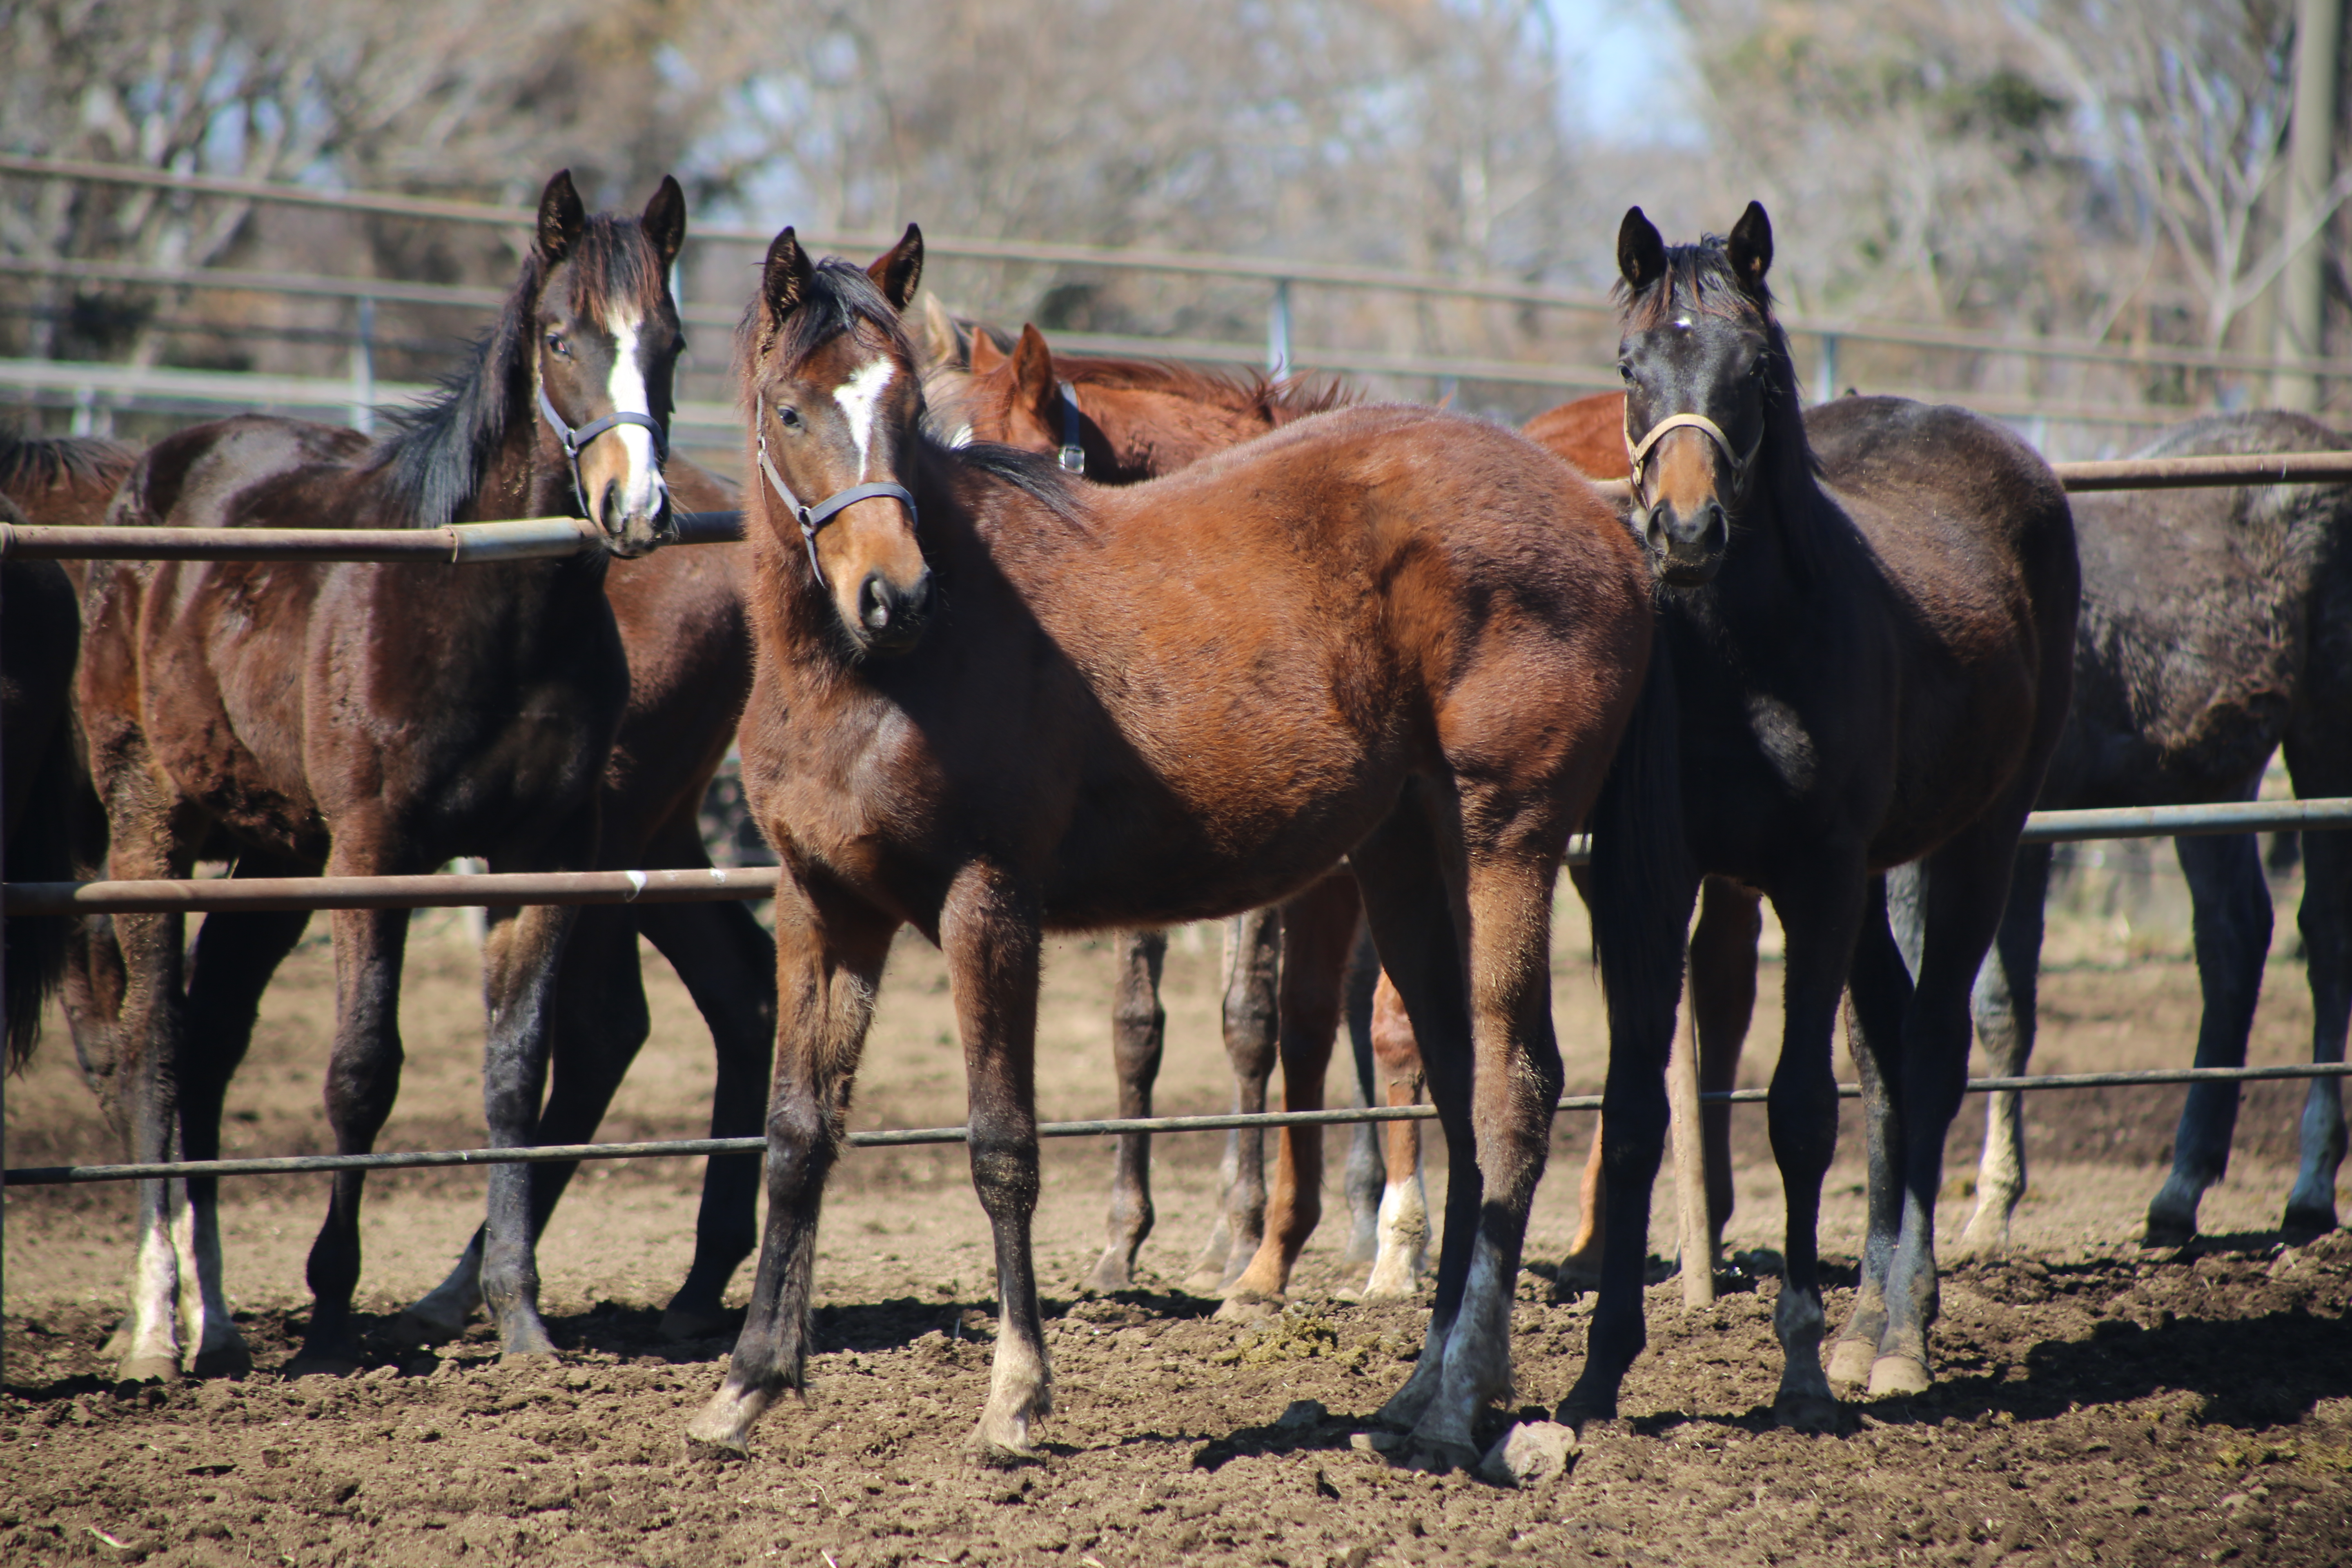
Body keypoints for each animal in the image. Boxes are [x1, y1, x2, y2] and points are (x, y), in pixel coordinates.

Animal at [67, 172, 686, 1382]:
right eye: (561, 337)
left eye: (671, 343)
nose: (636, 510)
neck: (484, 605)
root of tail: (148, 478)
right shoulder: (375, 852)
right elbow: (361, 1071)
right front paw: (328, 1320)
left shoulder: (544, 857)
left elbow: (516, 1073)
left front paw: (520, 1319)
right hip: (152, 828)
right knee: (157, 1046)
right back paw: (158, 1324)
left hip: (272, 858)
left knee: (209, 1046)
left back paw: (216, 1324)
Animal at [1561, 208, 2079, 1439]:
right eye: (1628, 365)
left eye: (1755, 368)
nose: (1685, 531)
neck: (1735, 660)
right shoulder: (1651, 883)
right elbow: (1636, 1114)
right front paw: (1599, 1372)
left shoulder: (1817, 878)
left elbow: (1797, 1112)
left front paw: (1797, 1368)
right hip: (1879, 881)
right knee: (1885, 1055)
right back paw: (1866, 1327)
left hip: (1977, 838)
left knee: (1929, 1051)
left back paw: (1893, 1341)